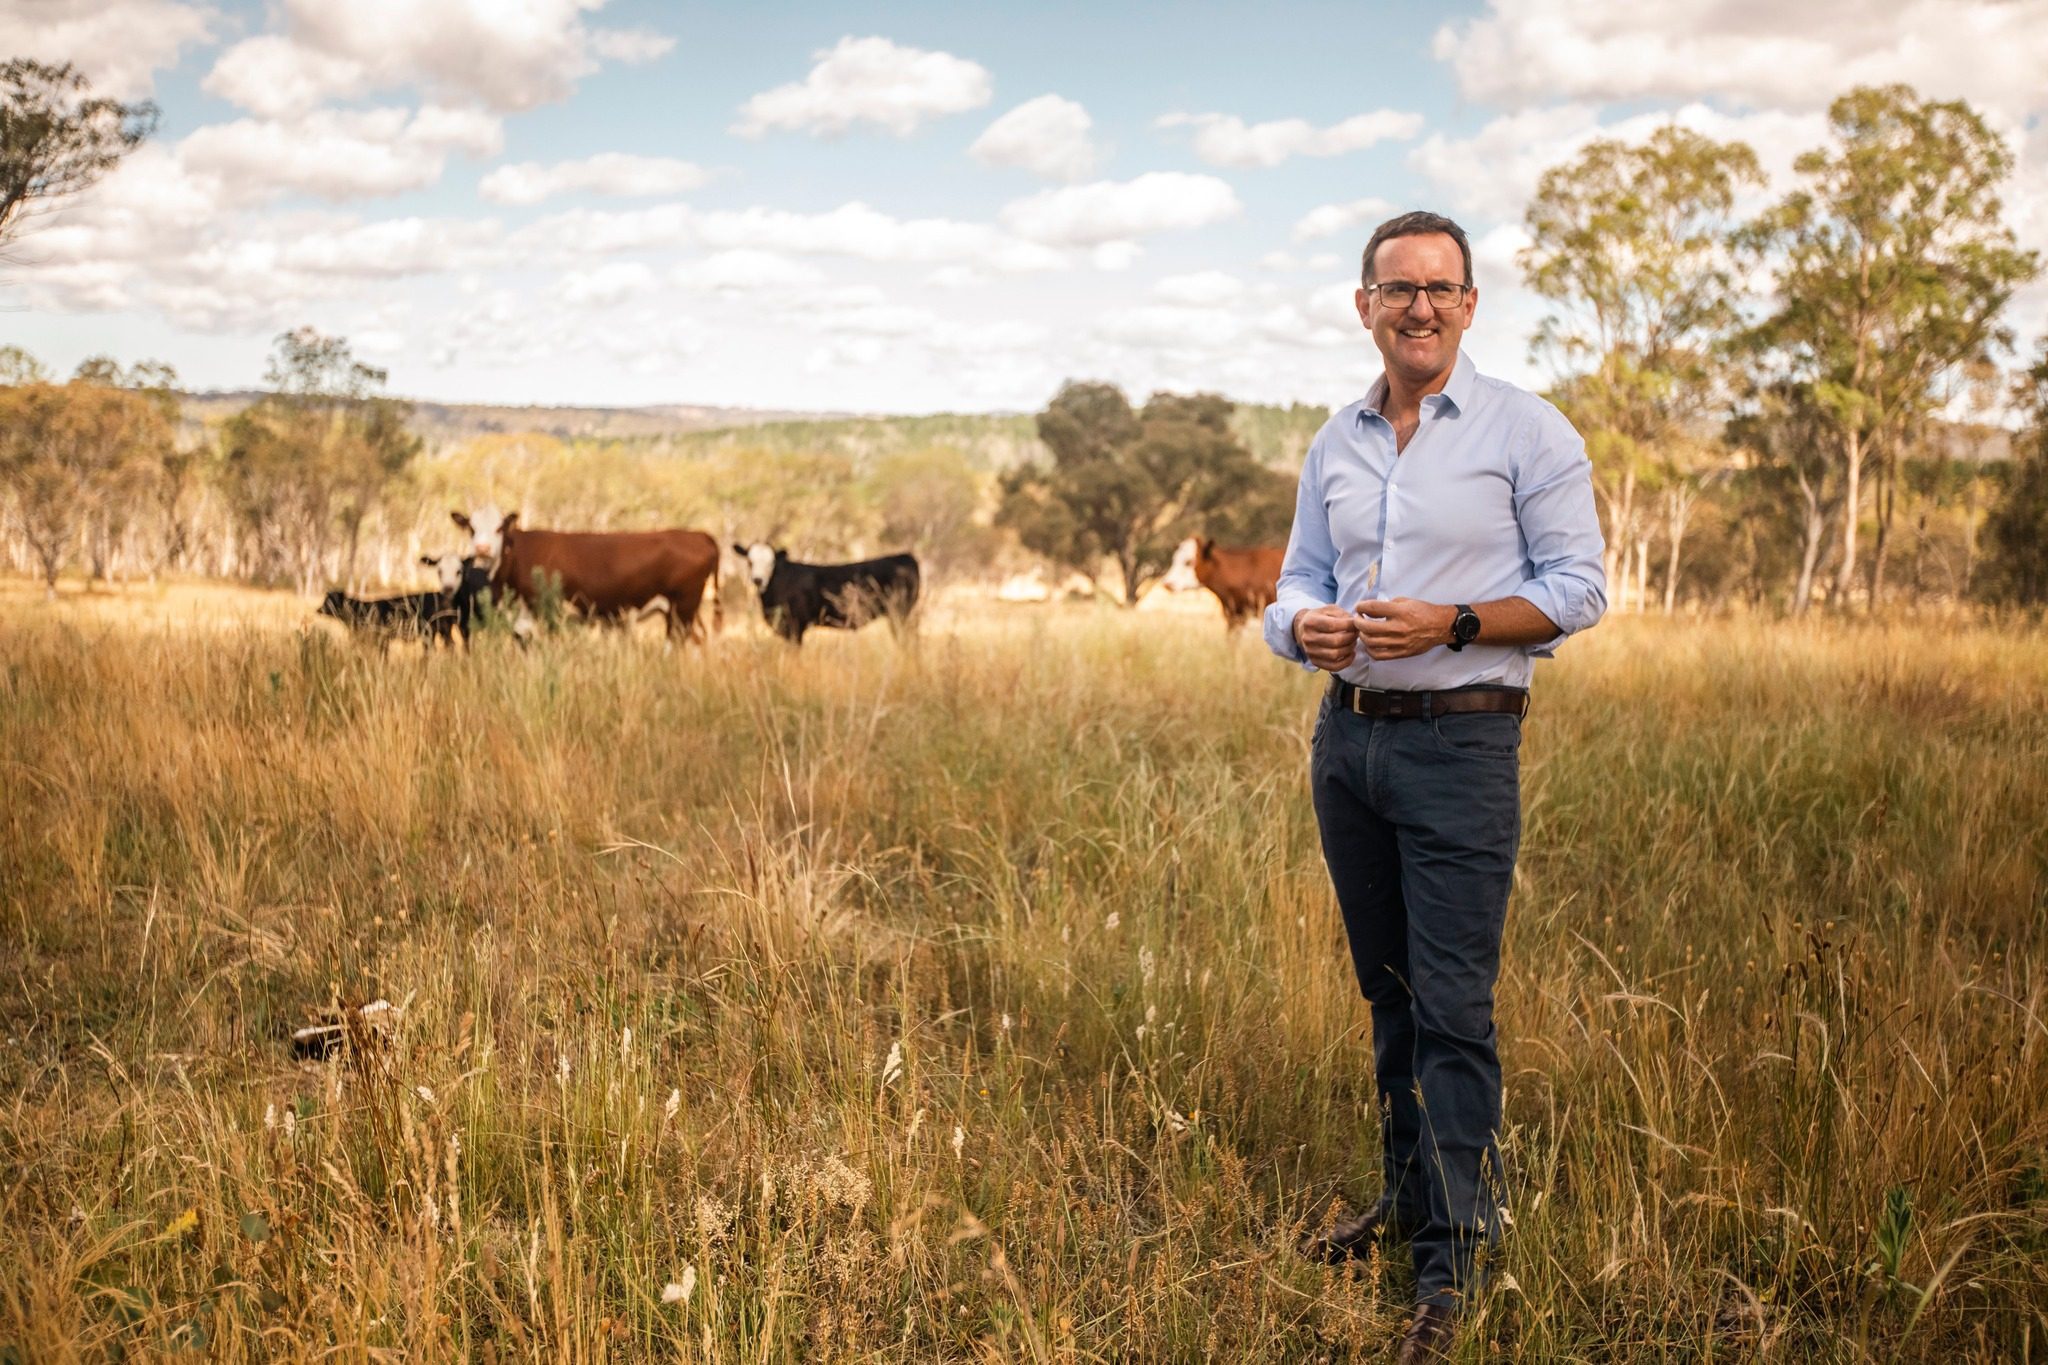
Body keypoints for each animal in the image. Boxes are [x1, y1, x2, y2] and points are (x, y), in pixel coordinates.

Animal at [452, 511, 724, 646]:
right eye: (471, 528)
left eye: (499, 528)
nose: (483, 548)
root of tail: (699, 536)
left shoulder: (546, 612)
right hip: (682, 611)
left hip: (683, 609)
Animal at [733, 544, 917, 646]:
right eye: (750, 562)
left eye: (771, 562)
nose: (758, 580)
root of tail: (905, 556)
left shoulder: (796, 627)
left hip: (899, 613)